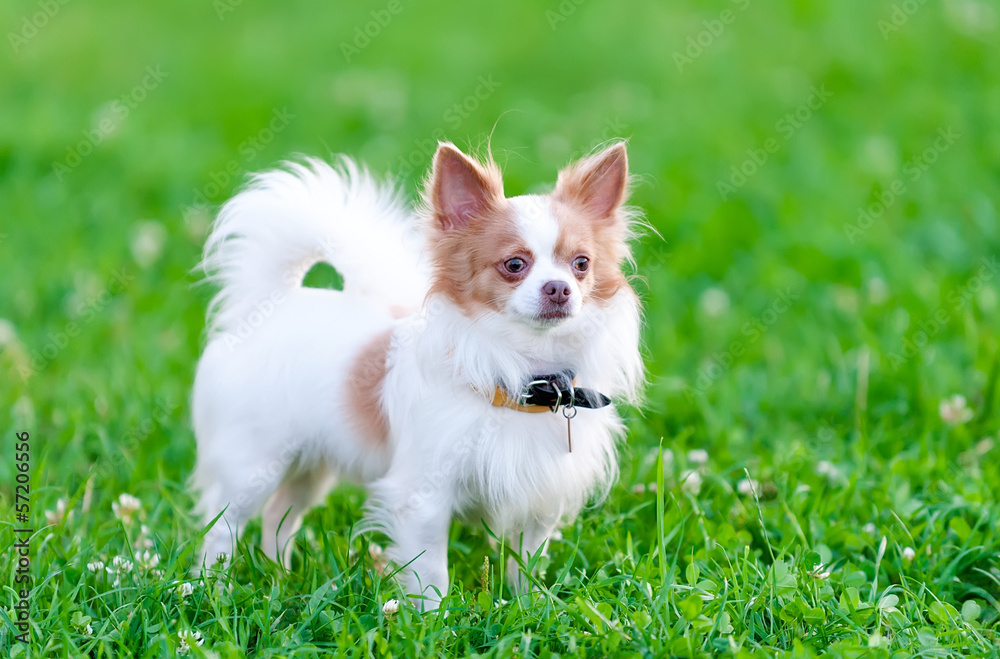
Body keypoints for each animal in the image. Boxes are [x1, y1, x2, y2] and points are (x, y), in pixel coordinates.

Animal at [191, 142, 644, 612]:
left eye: (582, 264)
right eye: (514, 264)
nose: (559, 288)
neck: (522, 375)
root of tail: (270, 305)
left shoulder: (537, 504)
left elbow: (525, 564)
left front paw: (528, 608)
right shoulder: (423, 498)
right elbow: (430, 572)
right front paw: (433, 618)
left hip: (309, 465)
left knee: (279, 515)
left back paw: (279, 578)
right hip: (252, 467)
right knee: (222, 527)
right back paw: (213, 590)